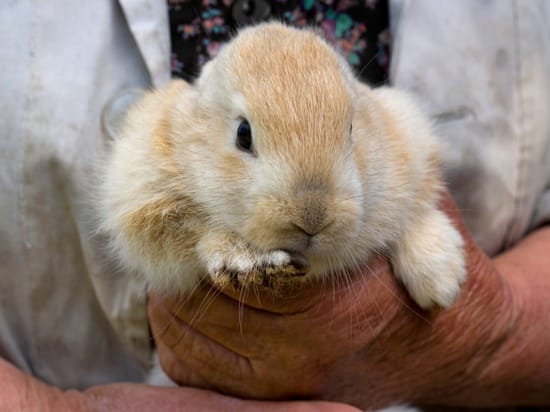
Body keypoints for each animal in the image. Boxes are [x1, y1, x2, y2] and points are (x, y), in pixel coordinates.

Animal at [98, 22, 466, 310]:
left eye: (351, 129)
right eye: (243, 134)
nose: (312, 216)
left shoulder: (414, 145)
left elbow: (417, 211)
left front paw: (441, 283)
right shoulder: (143, 198)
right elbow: (195, 229)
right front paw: (250, 260)